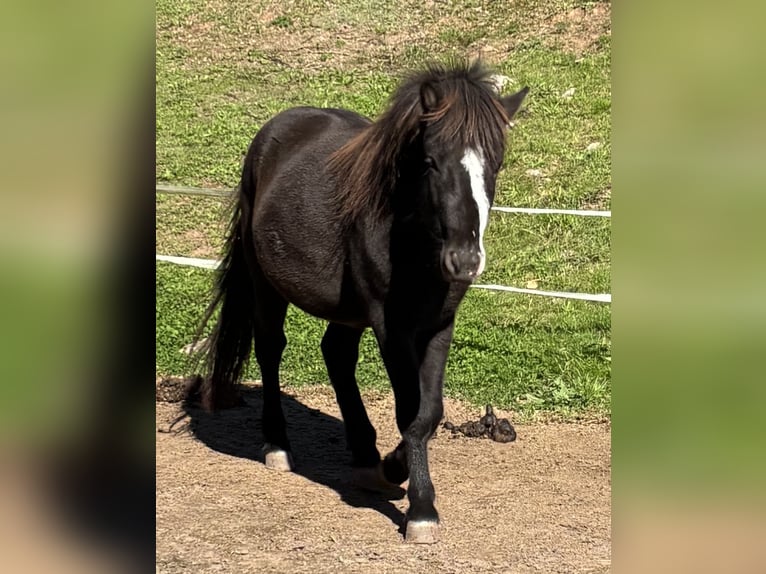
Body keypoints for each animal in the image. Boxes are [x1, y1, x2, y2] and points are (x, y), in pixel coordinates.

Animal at [196, 60, 528, 543]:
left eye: (495, 164)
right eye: (431, 162)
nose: (465, 260)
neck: (412, 241)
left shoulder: (438, 324)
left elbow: (430, 412)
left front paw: (393, 470)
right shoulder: (392, 327)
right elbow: (411, 411)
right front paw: (420, 508)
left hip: (349, 312)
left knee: (335, 354)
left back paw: (367, 458)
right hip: (266, 286)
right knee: (271, 350)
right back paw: (278, 445)